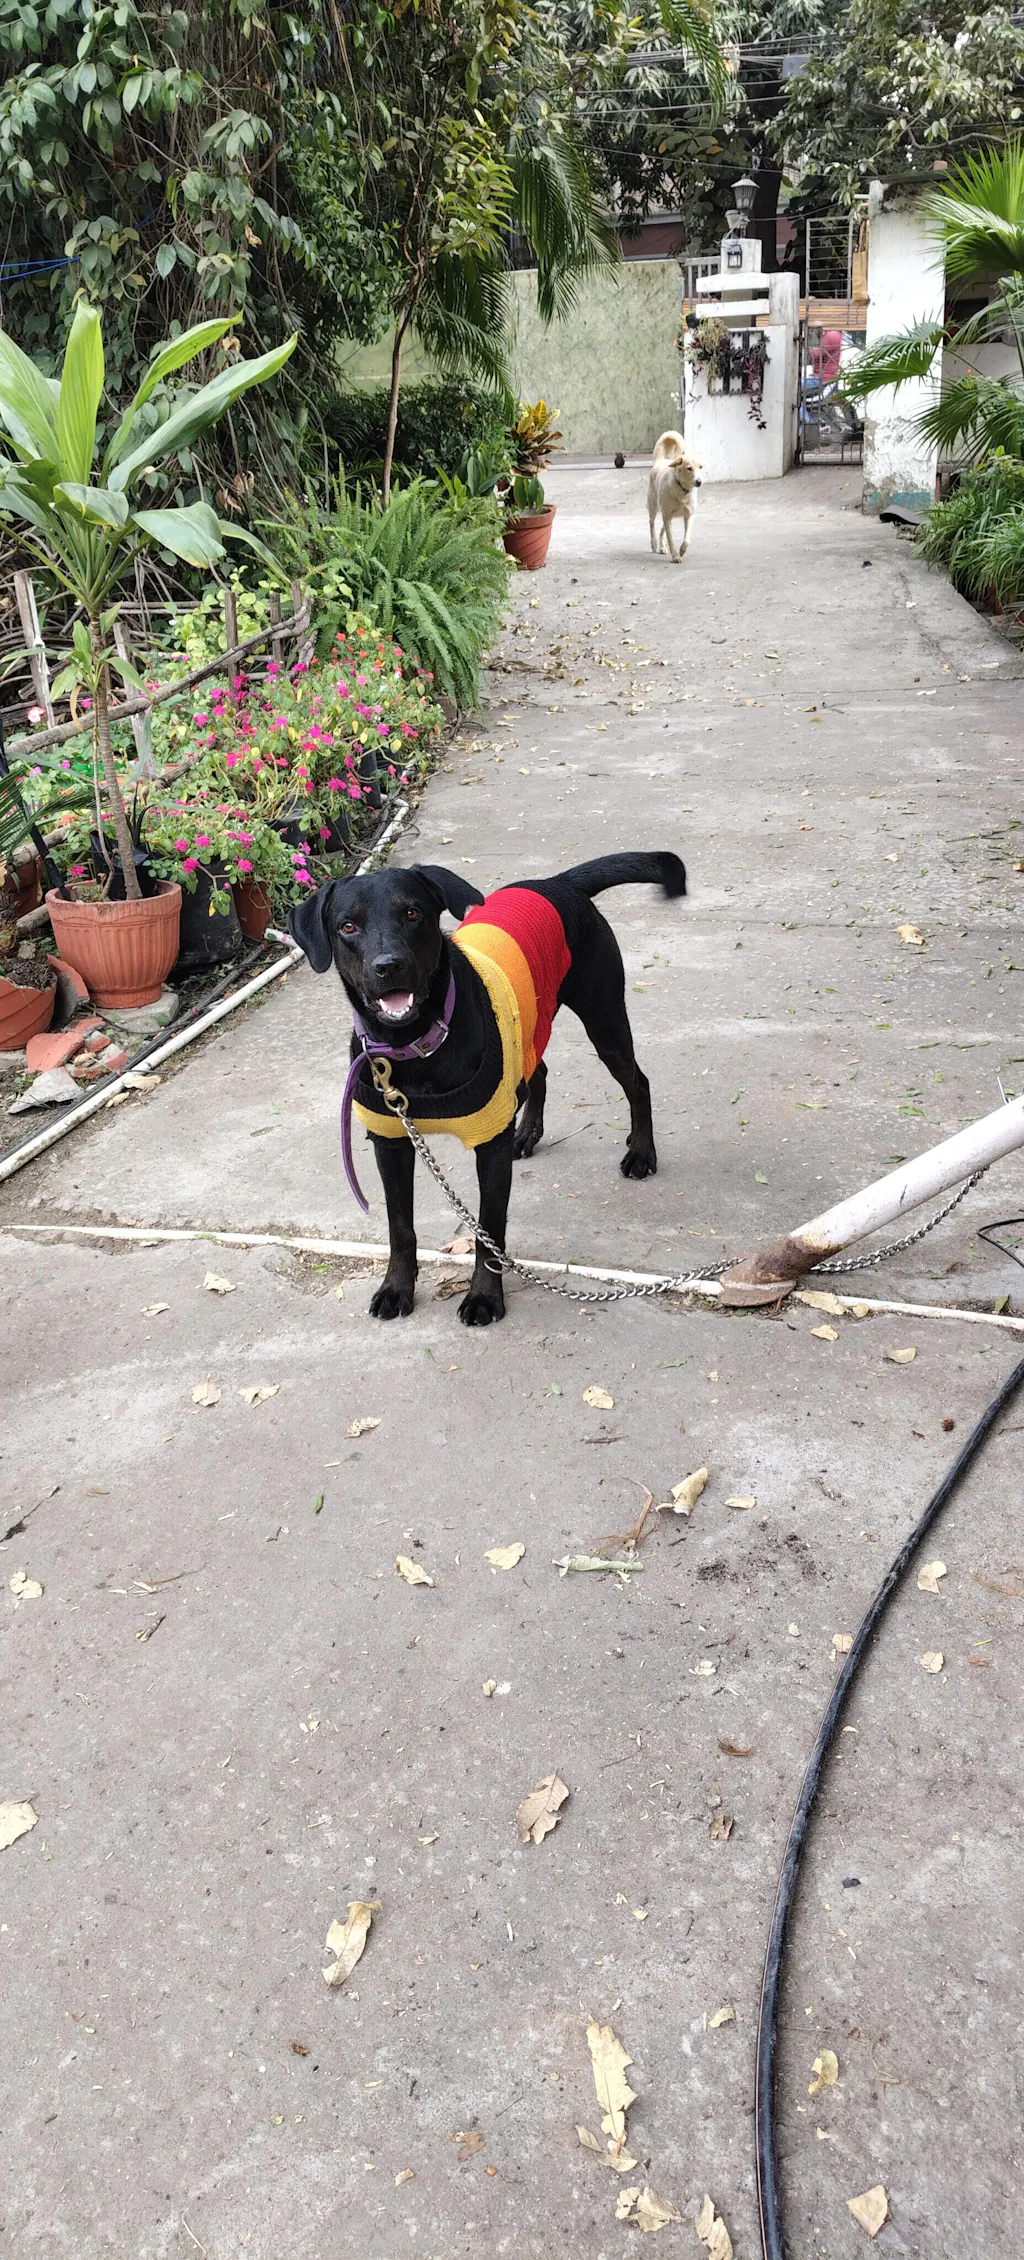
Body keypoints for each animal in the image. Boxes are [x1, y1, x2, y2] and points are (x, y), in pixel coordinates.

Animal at [290, 851, 687, 1326]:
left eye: (413, 913)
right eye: (347, 926)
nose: (389, 966)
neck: (418, 1044)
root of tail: (557, 882)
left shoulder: (489, 1146)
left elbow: (489, 1231)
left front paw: (483, 1296)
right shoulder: (391, 1142)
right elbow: (399, 1227)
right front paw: (396, 1288)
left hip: (604, 1019)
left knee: (637, 1083)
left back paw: (641, 1152)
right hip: (529, 1028)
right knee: (539, 1072)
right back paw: (528, 1132)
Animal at [648, 431, 702, 562]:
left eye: (700, 467)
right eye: (689, 468)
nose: (699, 482)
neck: (682, 490)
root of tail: (660, 460)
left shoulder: (688, 515)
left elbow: (687, 540)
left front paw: (682, 551)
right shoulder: (667, 516)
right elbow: (671, 539)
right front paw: (675, 556)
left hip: (666, 514)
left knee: (661, 529)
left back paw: (662, 547)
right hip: (654, 507)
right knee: (651, 524)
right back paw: (654, 543)